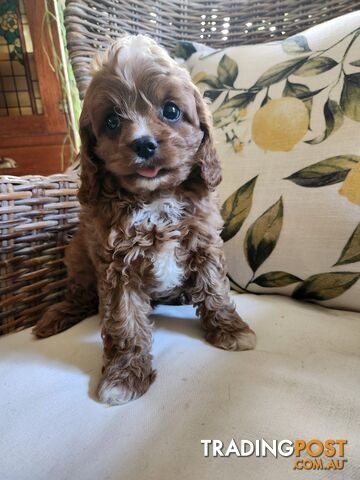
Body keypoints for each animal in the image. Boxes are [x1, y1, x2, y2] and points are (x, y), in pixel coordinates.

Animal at [32, 33, 255, 404]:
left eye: (171, 111)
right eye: (111, 121)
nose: (144, 144)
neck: (156, 199)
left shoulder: (204, 243)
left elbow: (215, 291)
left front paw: (230, 329)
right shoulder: (117, 266)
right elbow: (125, 321)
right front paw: (124, 375)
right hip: (77, 256)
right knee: (79, 294)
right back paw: (57, 316)